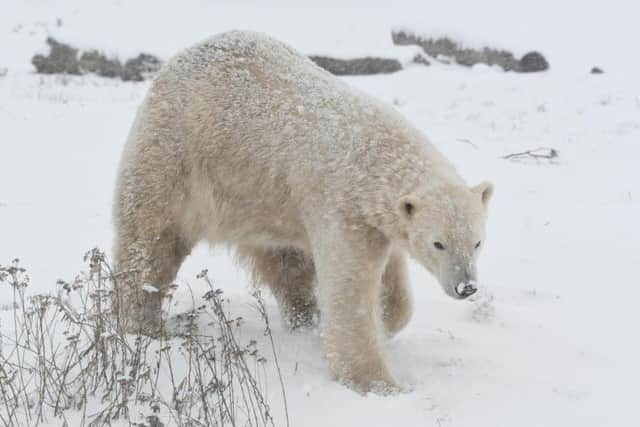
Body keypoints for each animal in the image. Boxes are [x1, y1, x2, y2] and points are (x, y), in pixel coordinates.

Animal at [112, 30, 492, 394]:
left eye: (477, 243)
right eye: (438, 244)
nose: (466, 286)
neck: (374, 156)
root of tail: (178, 62)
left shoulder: (375, 220)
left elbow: (393, 282)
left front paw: (386, 320)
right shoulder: (341, 208)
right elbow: (350, 293)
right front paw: (378, 383)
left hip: (263, 199)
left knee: (285, 263)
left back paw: (304, 319)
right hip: (176, 157)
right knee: (151, 241)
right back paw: (142, 321)